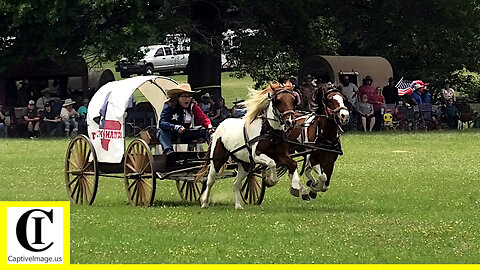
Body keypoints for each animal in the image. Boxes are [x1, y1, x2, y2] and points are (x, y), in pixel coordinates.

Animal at [197, 81, 298, 210]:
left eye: (293, 100)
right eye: (278, 100)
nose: (290, 121)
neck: (269, 132)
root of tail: (218, 127)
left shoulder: (280, 155)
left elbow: (293, 164)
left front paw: (296, 188)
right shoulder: (257, 156)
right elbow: (272, 163)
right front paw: (270, 180)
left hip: (244, 164)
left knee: (236, 184)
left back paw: (238, 205)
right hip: (217, 160)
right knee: (210, 181)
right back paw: (205, 202)